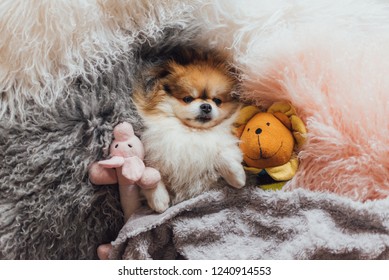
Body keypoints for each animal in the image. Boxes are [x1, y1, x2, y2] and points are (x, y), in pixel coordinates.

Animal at [133, 46, 246, 212]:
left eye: (217, 101)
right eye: (187, 99)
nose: (206, 106)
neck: (192, 132)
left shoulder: (216, 142)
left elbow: (220, 152)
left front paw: (238, 177)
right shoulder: (154, 150)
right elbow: (152, 171)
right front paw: (158, 200)